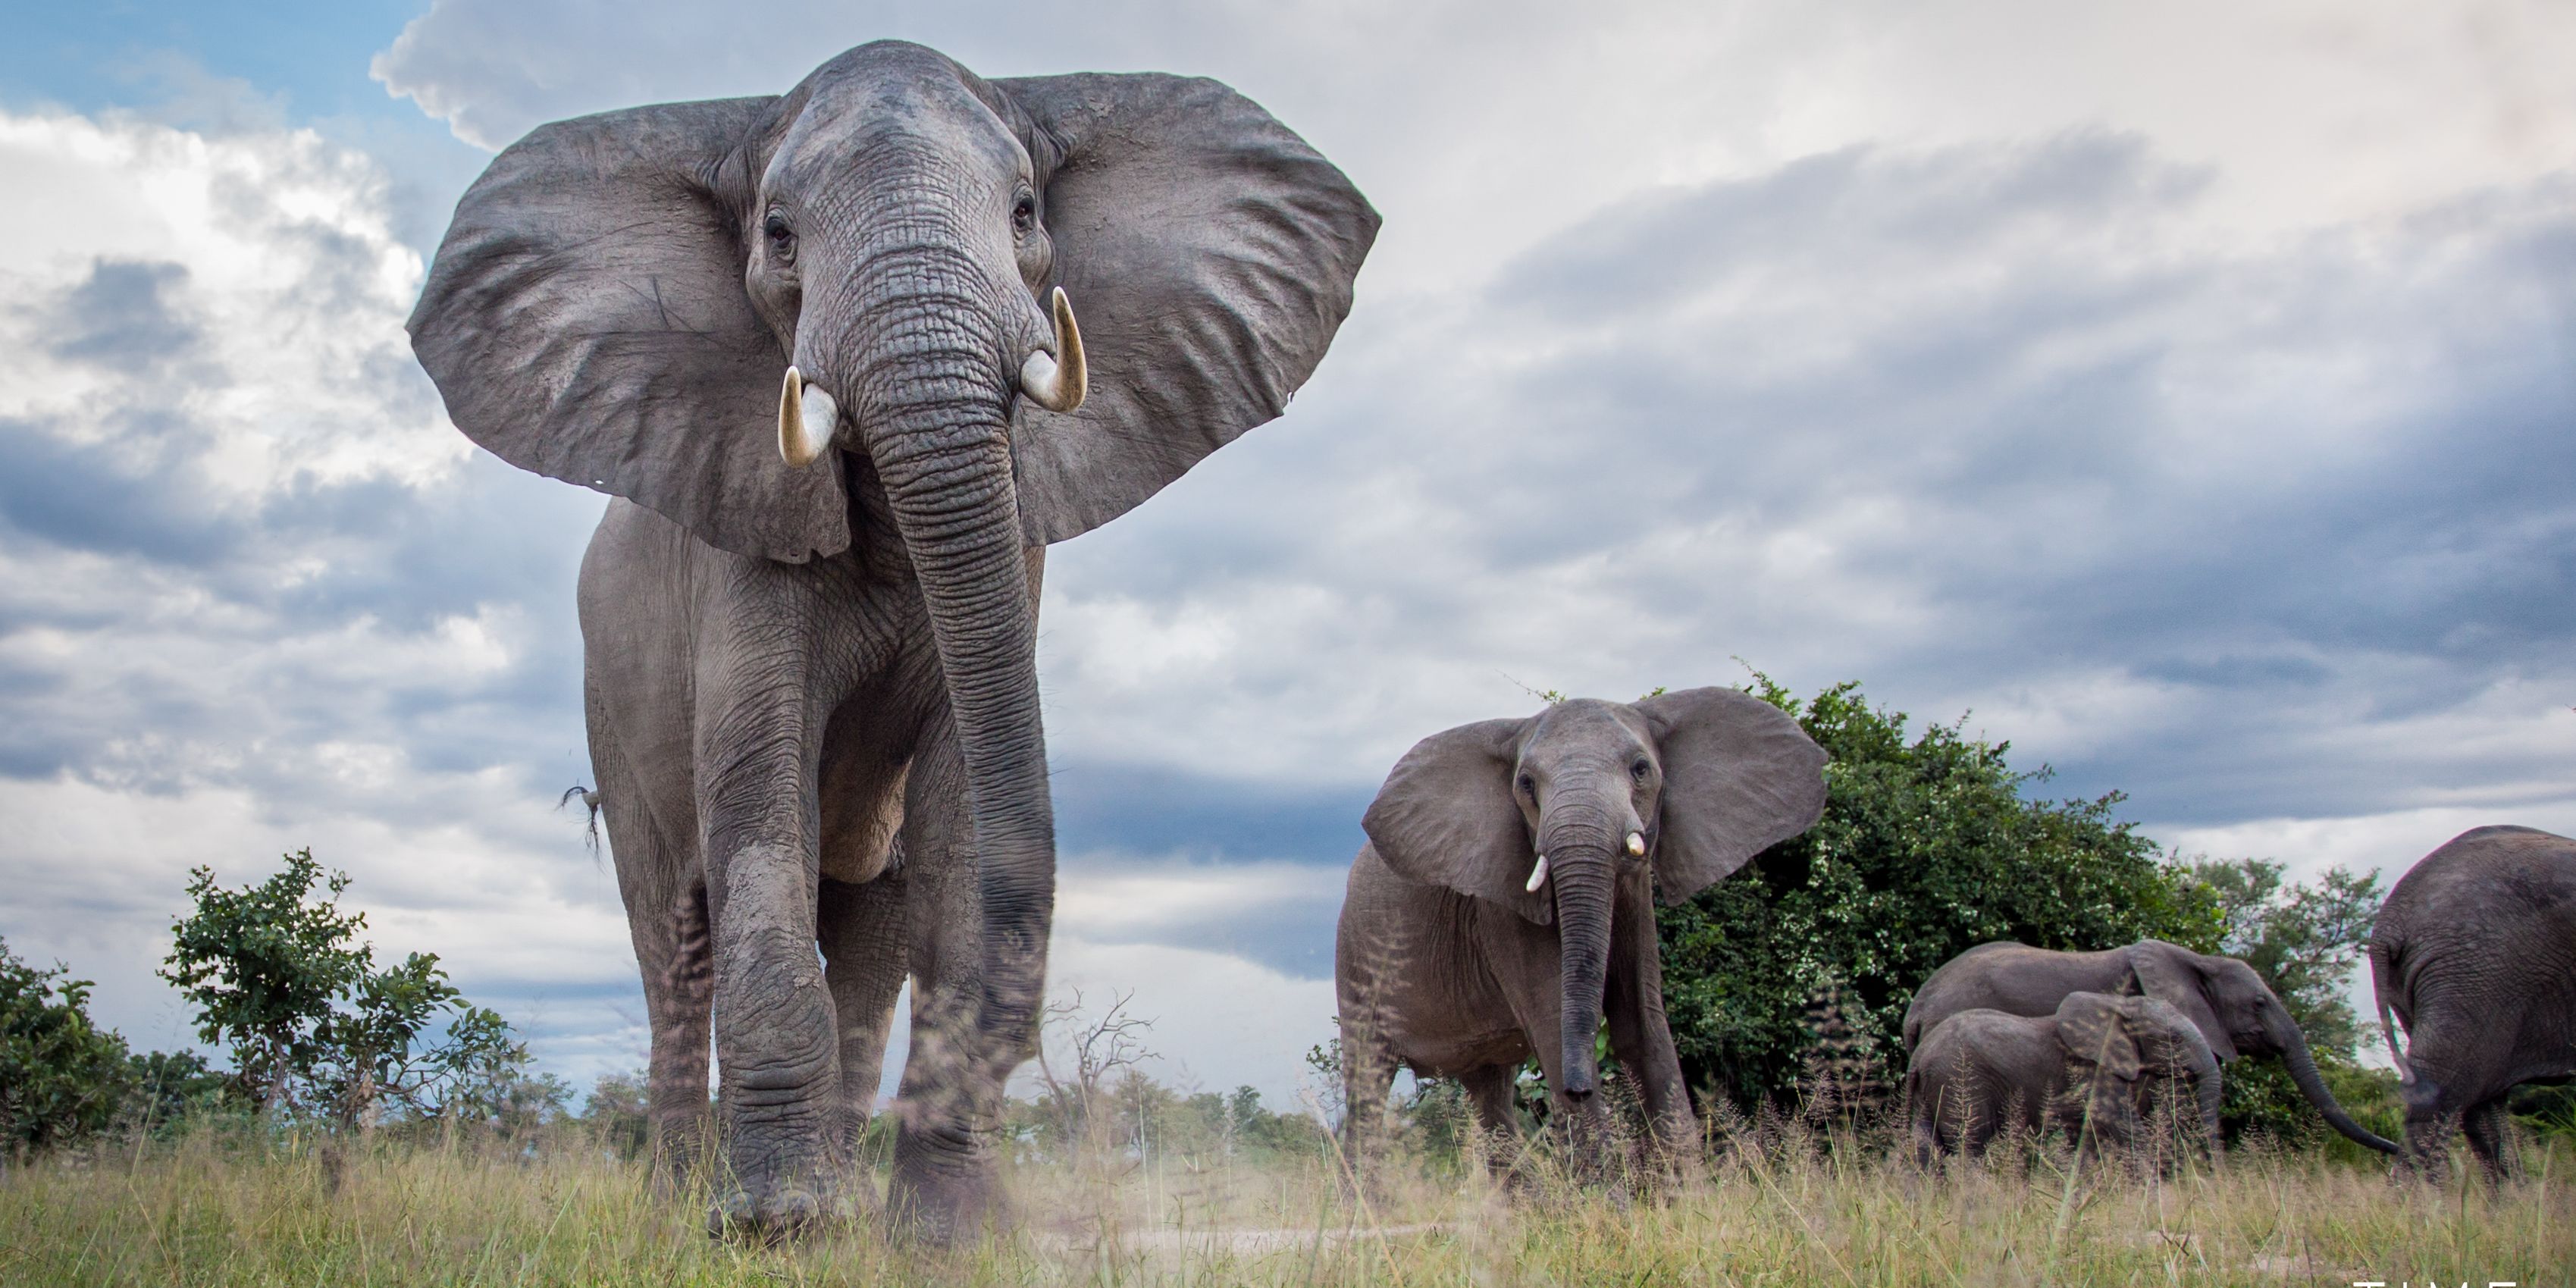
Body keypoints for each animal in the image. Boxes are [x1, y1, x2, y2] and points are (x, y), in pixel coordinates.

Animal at [405, 41, 1376, 1240]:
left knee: (871, 935)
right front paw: (771, 1226)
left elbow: (961, 805)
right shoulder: (742, 528)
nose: (1023, 1042)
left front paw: (948, 1234)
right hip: (609, 705)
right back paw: (684, 1208)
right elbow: (758, 789)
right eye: (778, 232)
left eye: (1024, 211)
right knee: (674, 936)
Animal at [1335, 688, 1828, 1175]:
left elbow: (1644, 1023)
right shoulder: (1502, 908)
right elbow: (1554, 1024)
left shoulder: (1635, 897)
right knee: (1368, 1081)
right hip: (1357, 964)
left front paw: (1688, 1193)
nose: (1577, 1090)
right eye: (1526, 784)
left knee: (1490, 1093)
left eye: (1641, 768)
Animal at [1906, 992, 2222, 1162]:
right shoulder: (2092, 1068)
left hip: (1933, 1087)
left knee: (1924, 1148)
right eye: (2174, 1039)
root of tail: (1918, 1058)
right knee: (1969, 1145)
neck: (2119, 1004)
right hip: (1959, 1081)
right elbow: (2121, 1125)